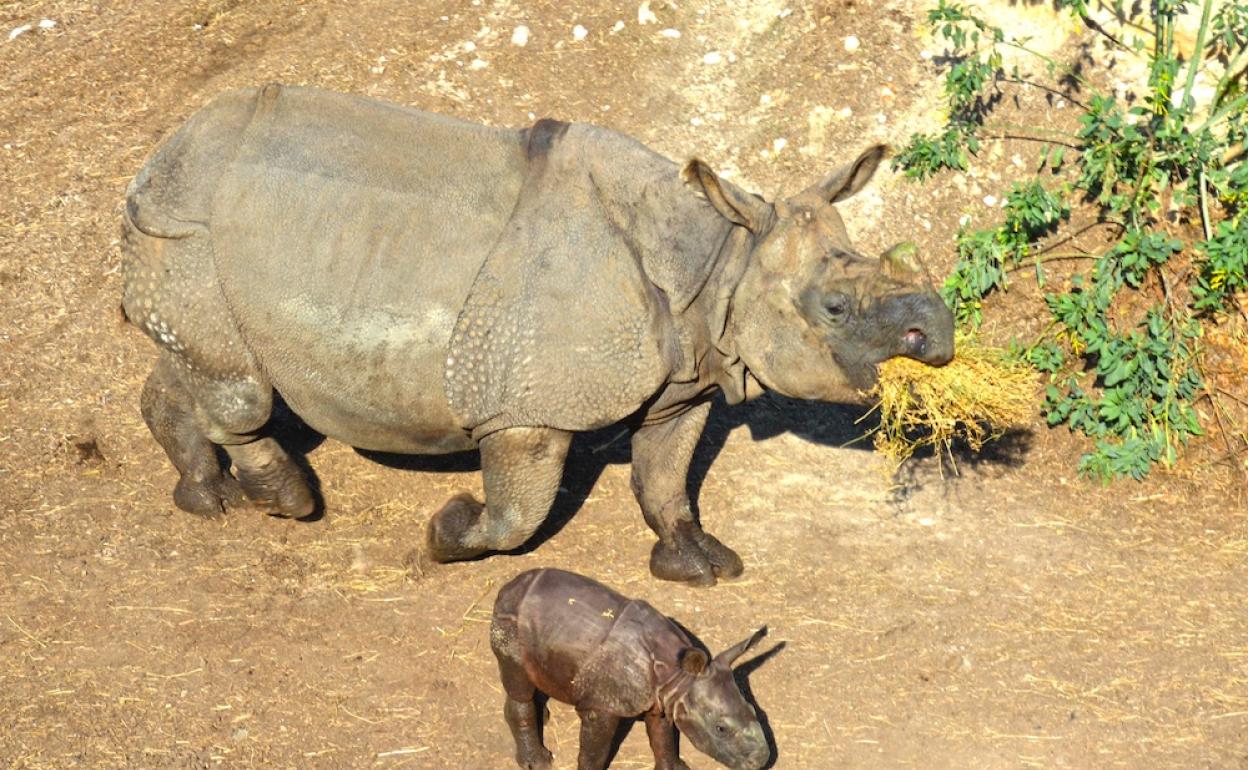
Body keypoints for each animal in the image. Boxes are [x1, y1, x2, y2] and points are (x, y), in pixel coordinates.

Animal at [119, 84, 953, 581]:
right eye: (834, 309)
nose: (937, 331)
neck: (718, 261)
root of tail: (156, 157)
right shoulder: (525, 405)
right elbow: (519, 516)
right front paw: (444, 532)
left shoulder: (684, 381)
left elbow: (666, 477)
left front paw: (699, 565)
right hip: (189, 227)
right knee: (243, 393)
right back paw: (287, 502)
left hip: (205, 239)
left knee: (202, 365)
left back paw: (205, 499)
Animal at [489, 564, 763, 768]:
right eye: (721, 729)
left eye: (753, 708)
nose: (761, 761)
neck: (677, 675)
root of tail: (508, 588)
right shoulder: (602, 704)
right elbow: (595, 751)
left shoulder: (661, 697)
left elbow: (662, 736)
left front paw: (675, 768)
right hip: (510, 623)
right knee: (518, 683)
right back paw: (538, 762)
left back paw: (543, 716)